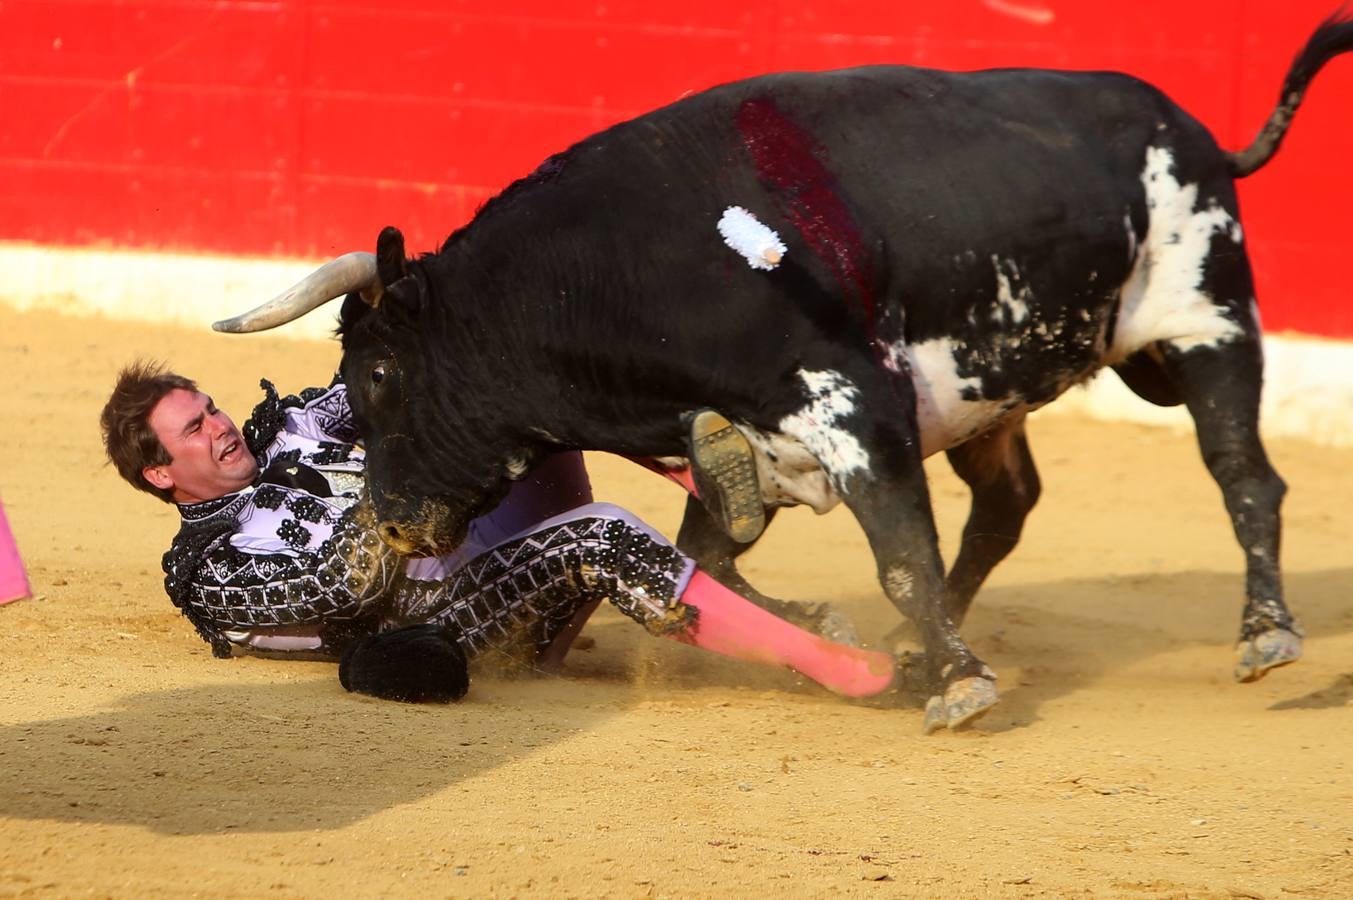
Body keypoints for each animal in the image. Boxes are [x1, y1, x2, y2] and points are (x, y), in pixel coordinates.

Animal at [216, 14, 1353, 730]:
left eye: (377, 377)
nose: (393, 524)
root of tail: (1198, 133)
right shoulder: (735, 443)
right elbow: (708, 564)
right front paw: (867, 640)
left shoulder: (857, 408)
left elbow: (899, 549)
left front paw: (957, 686)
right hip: (993, 396)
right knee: (1007, 505)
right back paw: (918, 644)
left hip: (1210, 322)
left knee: (1244, 476)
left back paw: (1266, 636)